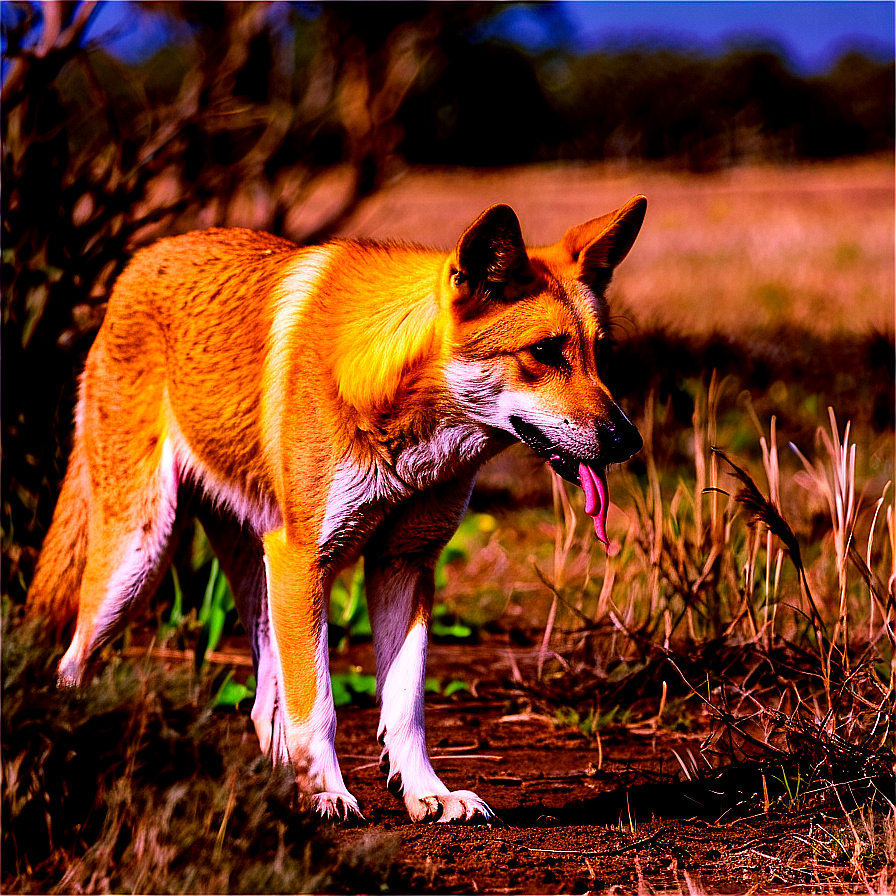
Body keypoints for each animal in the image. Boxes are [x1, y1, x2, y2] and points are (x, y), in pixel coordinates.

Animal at [28, 198, 644, 824]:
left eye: (601, 355)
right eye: (545, 352)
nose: (627, 441)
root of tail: (139, 260)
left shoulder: (404, 564)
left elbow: (406, 709)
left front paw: (428, 794)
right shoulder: (306, 561)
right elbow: (319, 706)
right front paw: (328, 794)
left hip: (254, 581)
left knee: (262, 708)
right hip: (140, 561)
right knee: (70, 665)